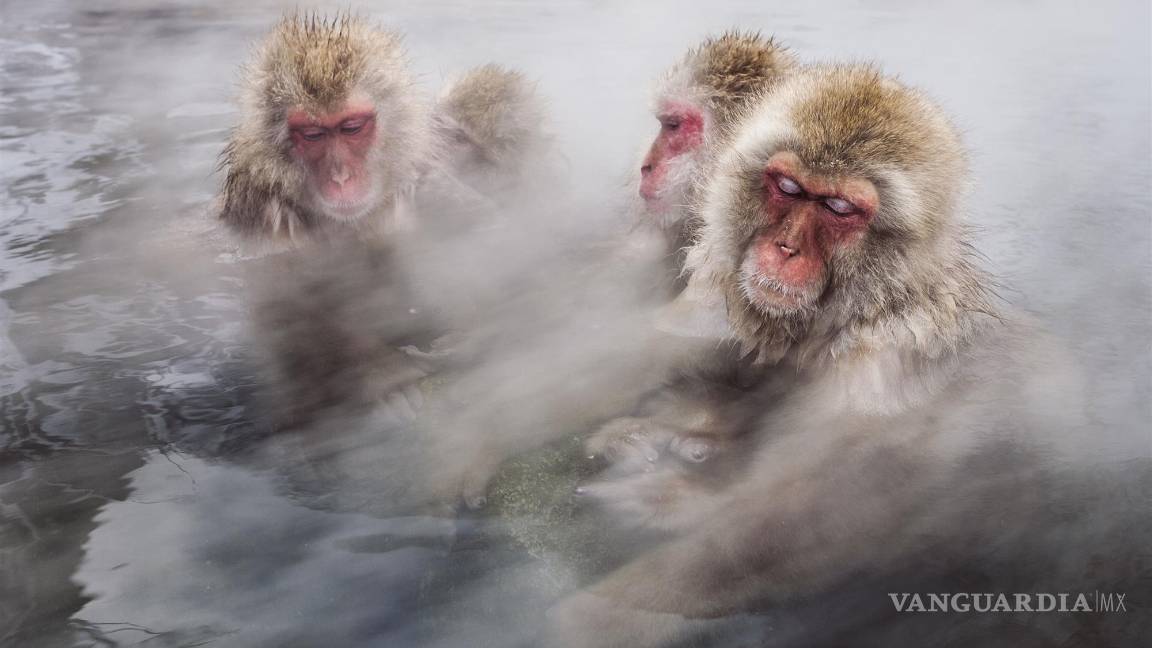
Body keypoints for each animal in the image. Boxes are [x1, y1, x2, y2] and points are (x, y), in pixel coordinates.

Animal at [546, 64, 1106, 647]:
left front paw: (604, 611)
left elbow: (842, 511)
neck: (846, 314)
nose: (786, 248)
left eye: (839, 208)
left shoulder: (882, 366)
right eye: (788, 188)